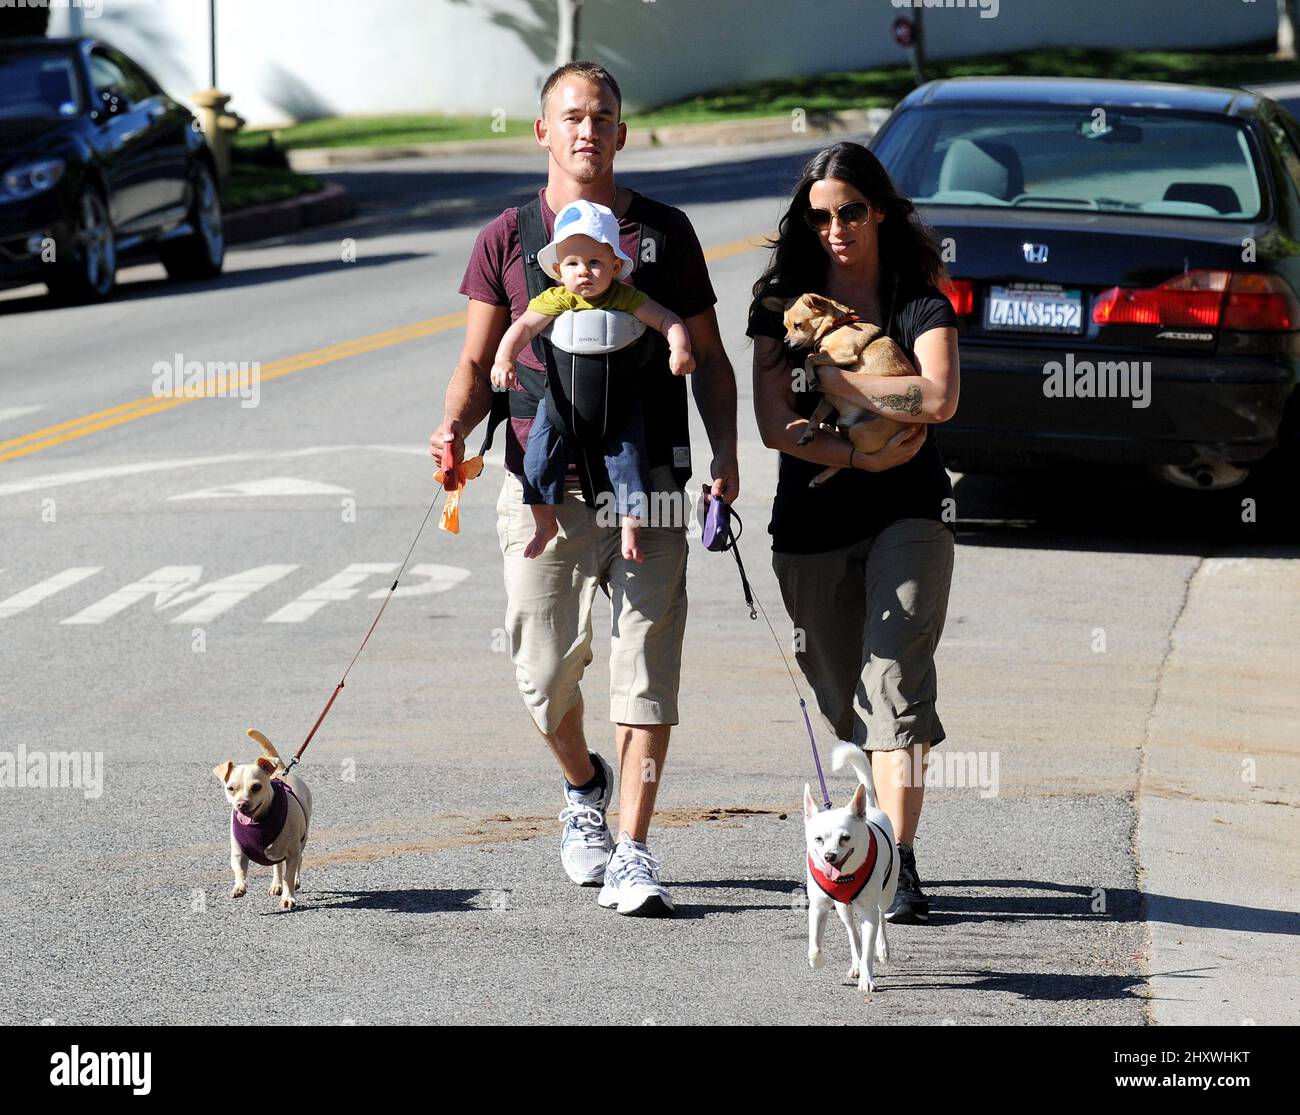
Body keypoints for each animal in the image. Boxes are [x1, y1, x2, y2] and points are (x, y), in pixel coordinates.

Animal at [215, 727, 314, 904]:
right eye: (230, 788)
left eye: (256, 787)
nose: (241, 804)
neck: (258, 822)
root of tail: (281, 770)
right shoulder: (238, 853)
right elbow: (238, 869)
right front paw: (239, 887)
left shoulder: (293, 853)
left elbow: (289, 876)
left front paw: (288, 897)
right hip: (276, 852)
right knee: (277, 865)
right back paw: (276, 884)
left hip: (302, 839)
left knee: (298, 860)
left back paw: (294, 881)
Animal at [759, 293, 915, 483]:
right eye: (785, 328)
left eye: (798, 325)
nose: (786, 342)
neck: (834, 326)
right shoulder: (827, 397)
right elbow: (815, 414)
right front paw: (807, 433)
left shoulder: (843, 355)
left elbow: (810, 357)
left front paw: (810, 378)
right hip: (846, 423)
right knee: (845, 446)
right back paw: (825, 435)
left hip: (861, 431)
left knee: (853, 456)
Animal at [800, 738, 894, 992]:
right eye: (818, 839)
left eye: (845, 838)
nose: (829, 856)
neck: (845, 876)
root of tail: (868, 809)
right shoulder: (819, 907)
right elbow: (815, 945)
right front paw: (818, 961)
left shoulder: (868, 912)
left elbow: (869, 948)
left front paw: (867, 979)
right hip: (843, 908)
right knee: (853, 933)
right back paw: (855, 962)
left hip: (886, 894)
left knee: (881, 916)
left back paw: (883, 949)